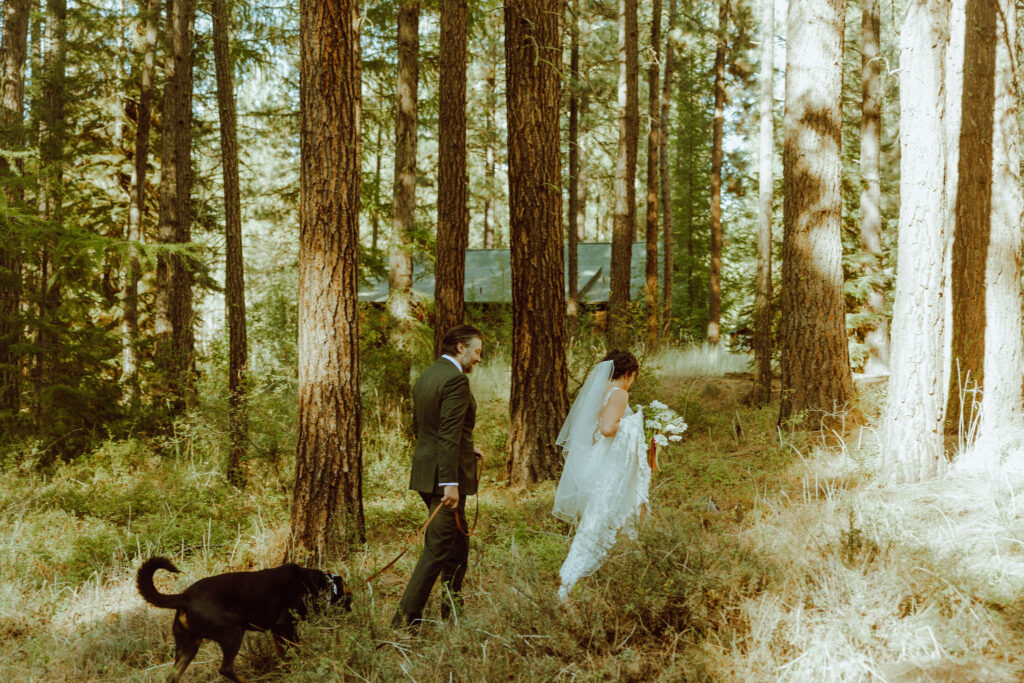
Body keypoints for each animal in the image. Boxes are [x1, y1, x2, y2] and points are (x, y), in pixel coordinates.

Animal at [138, 557, 350, 679]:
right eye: (348, 598)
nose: (350, 611)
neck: (315, 583)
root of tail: (184, 597)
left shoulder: (277, 631)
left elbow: (285, 655)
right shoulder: (285, 625)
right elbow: (296, 650)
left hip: (189, 646)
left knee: (173, 676)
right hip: (232, 632)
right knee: (226, 669)